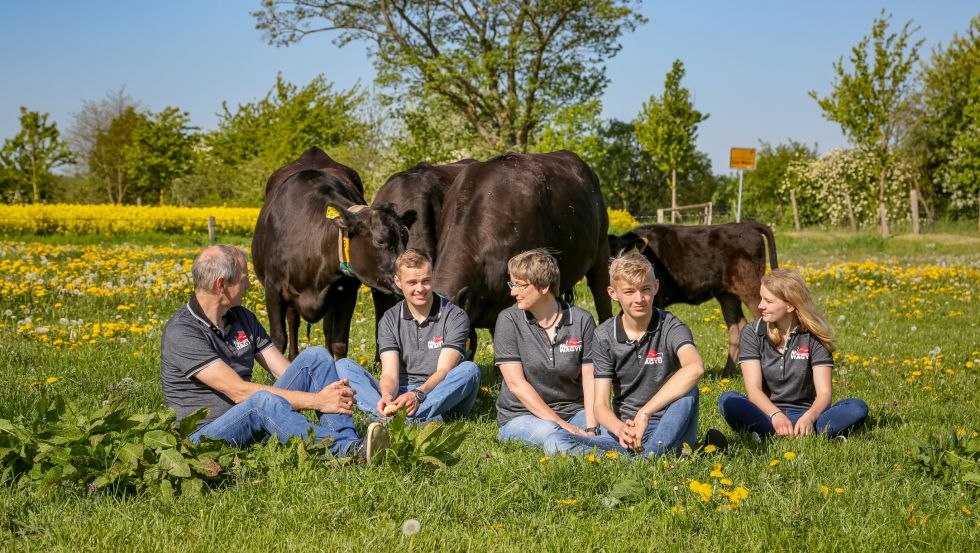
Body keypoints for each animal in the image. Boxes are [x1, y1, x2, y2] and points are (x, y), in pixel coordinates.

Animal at [251, 149, 416, 360]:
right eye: (381, 240)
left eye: (405, 237)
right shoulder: (273, 288)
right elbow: (278, 339)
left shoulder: (346, 292)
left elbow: (339, 342)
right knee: (293, 321)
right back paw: (293, 357)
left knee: (327, 330)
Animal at [608, 221, 776, 376]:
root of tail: (747, 225)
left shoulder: (656, 299)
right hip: (727, 294)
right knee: (737, 325)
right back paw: (727, 373)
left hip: (751, 287)